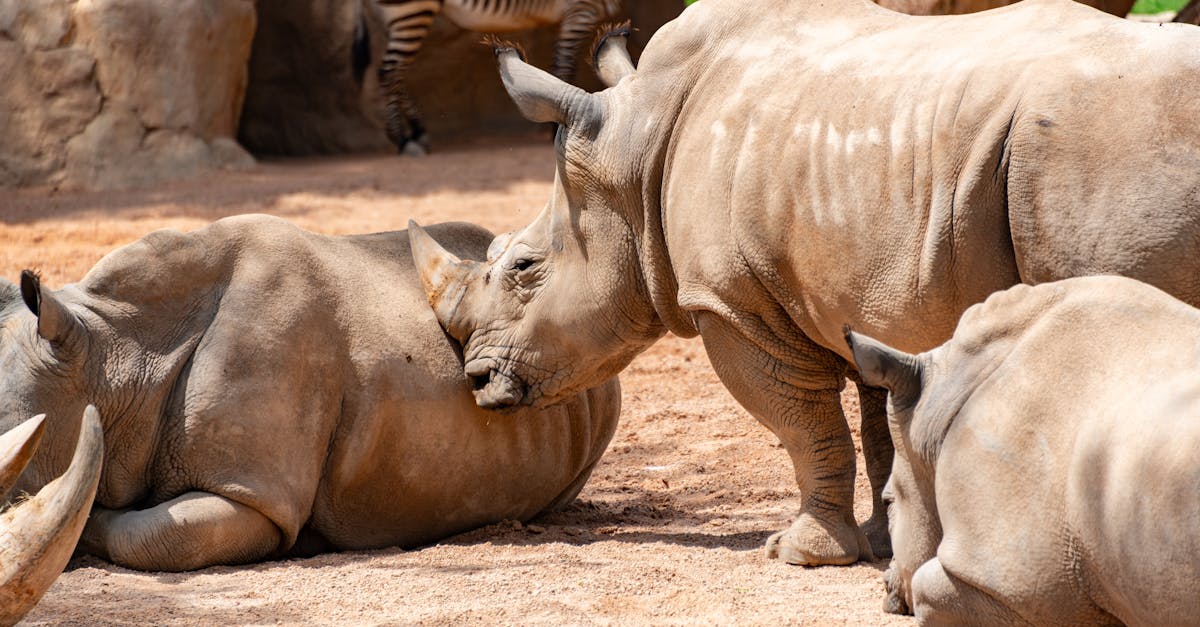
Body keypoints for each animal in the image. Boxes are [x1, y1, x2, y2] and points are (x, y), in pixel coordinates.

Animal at [407, 0, 1200, 567]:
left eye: (523, 268)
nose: (476, 380)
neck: (631, 155)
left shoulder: (733, 304)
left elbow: (802, 424)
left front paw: (801, 553)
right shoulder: (867, 294)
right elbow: (879, 428)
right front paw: (882, 541)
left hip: (1097, 148)